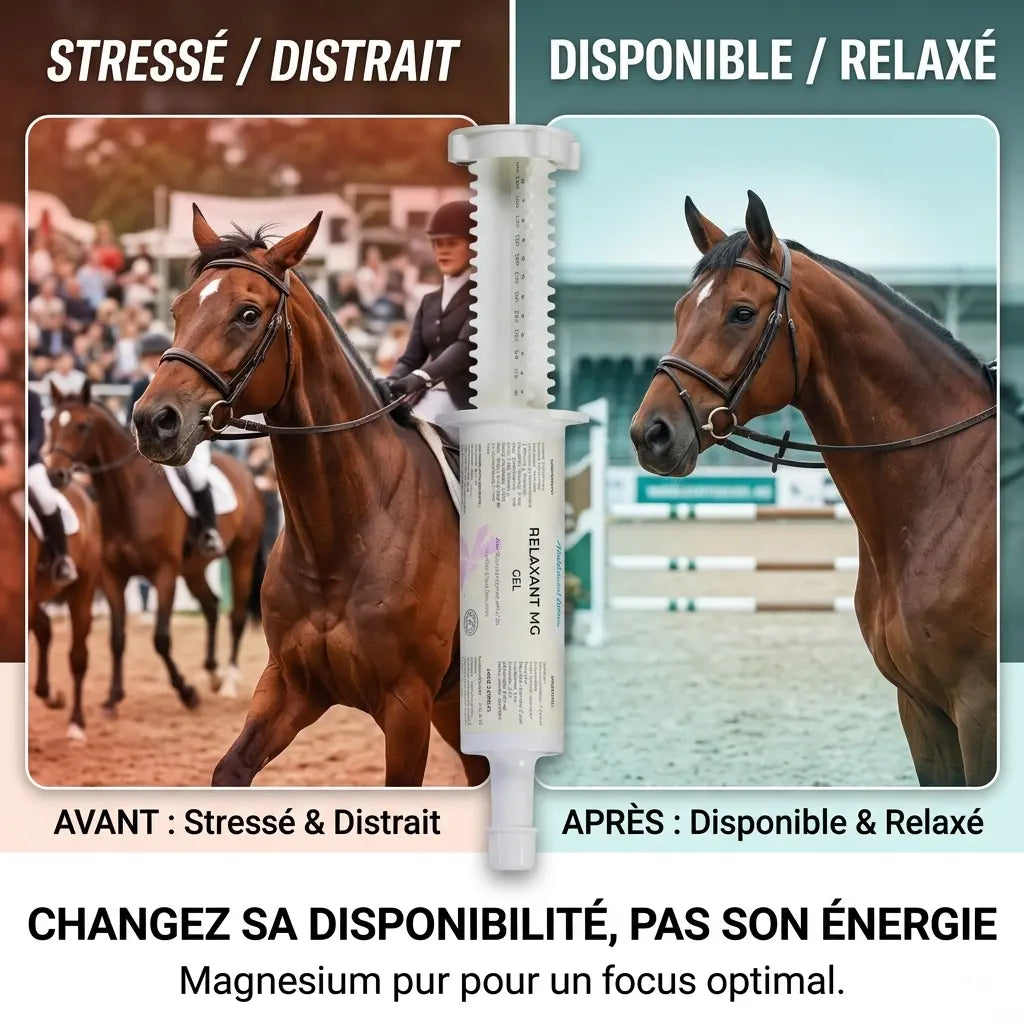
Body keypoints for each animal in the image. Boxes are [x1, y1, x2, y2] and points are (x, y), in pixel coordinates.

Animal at [46, 381, 266, 711]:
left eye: (82, 426)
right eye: (50, 423)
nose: (53, 474)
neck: (130, 496)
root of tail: (246, 475)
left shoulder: (164, 574)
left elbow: (161, 639)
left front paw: (186, 691)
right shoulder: (112, 577)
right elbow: (117, 638)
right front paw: (113, 697)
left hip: (242, 555)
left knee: (236, 616)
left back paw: (227, 680)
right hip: (194, 569)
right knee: (211, 606)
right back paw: (213, 672)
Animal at [131, 206, 486, 788]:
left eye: (248, 314)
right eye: (178, 308)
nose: (152, 422)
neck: (340, 534)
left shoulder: (406, 707)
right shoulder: (290, 685)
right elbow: (230, 769)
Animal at [630, 191, 997, 787]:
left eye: (742, 312)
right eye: (682, 311)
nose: (649, 433)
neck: (946, 491)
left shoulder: (978, 708)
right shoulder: (923, 712)